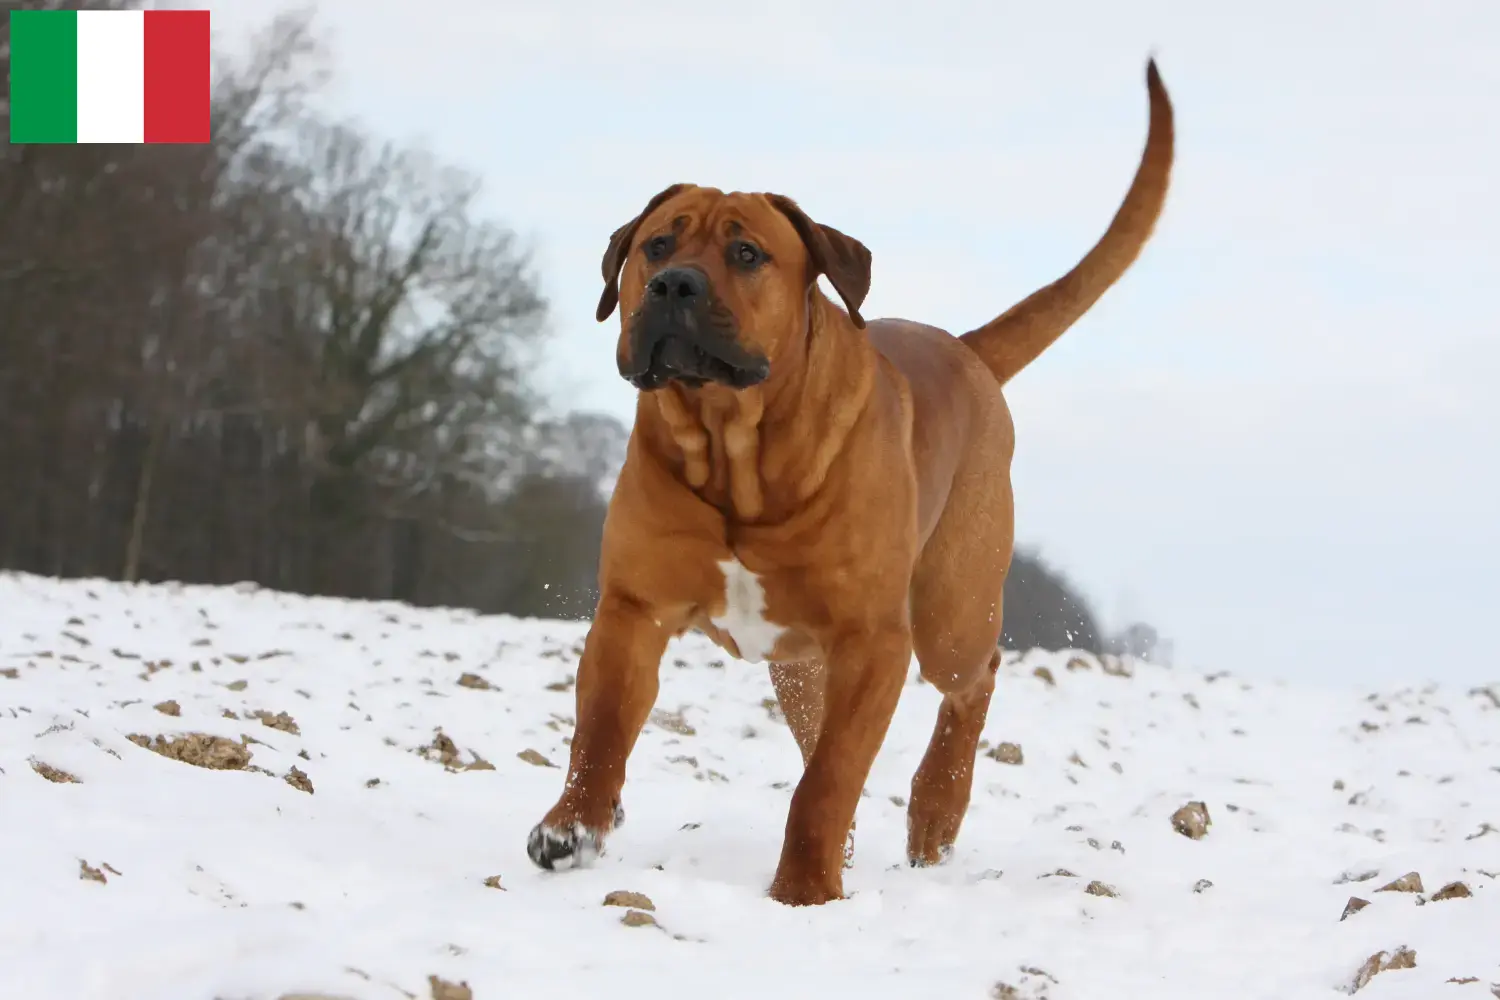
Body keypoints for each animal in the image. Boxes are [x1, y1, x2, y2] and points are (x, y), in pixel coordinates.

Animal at [525, 58, 1170, 911]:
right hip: (801, 666)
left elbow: (829, 779)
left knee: (974, 680)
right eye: (657, 244)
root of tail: (966, 351)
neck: (736, 445)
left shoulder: (872, 639)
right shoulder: (634, 610)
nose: (673, 285)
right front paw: (571, 829)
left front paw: (804, 889)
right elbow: (599, 732)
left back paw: (936, 810)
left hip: (949, 613)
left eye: (747, 255)